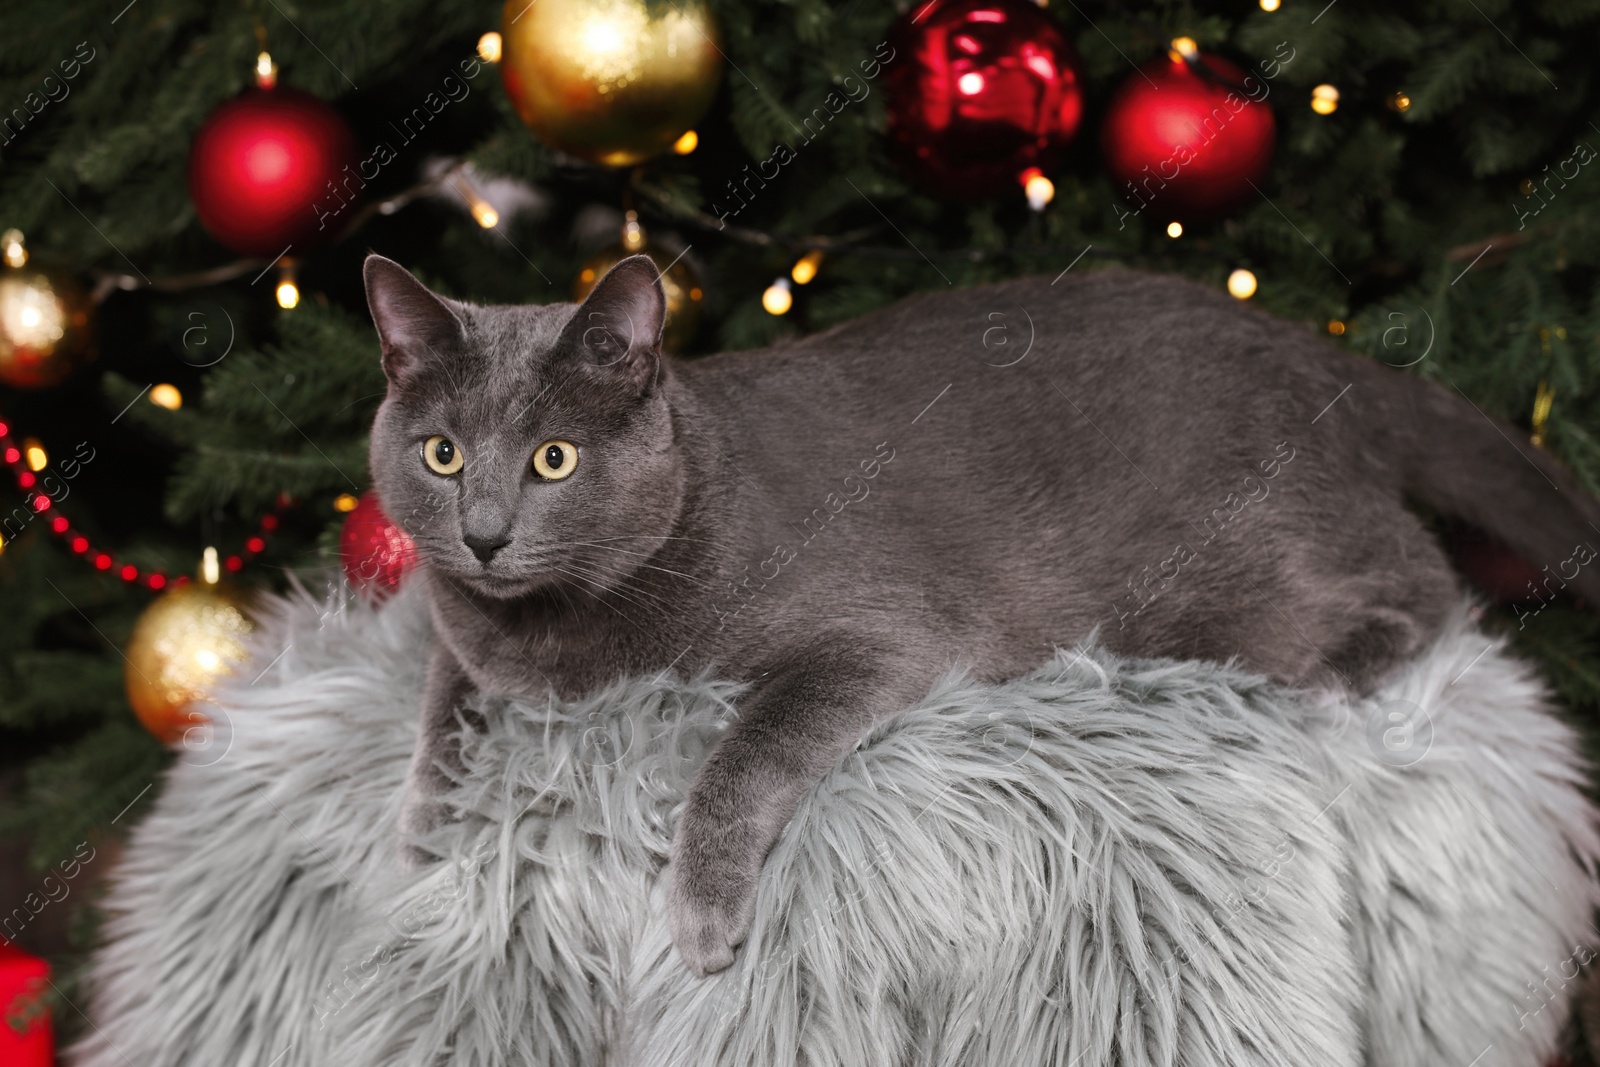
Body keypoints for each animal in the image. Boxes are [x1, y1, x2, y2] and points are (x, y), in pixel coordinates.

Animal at [363, 251, 1600, 979]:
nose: (483, 534)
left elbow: (744, 750)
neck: (554, 640)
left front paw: (700, 913)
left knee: (1428, 578)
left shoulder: (875, 636)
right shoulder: (465, 637)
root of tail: (1313, 345)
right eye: (441, 452)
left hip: (1245, 567)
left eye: (555, 458)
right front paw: (419, 843)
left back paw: (1315, 678)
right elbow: (438, 703)